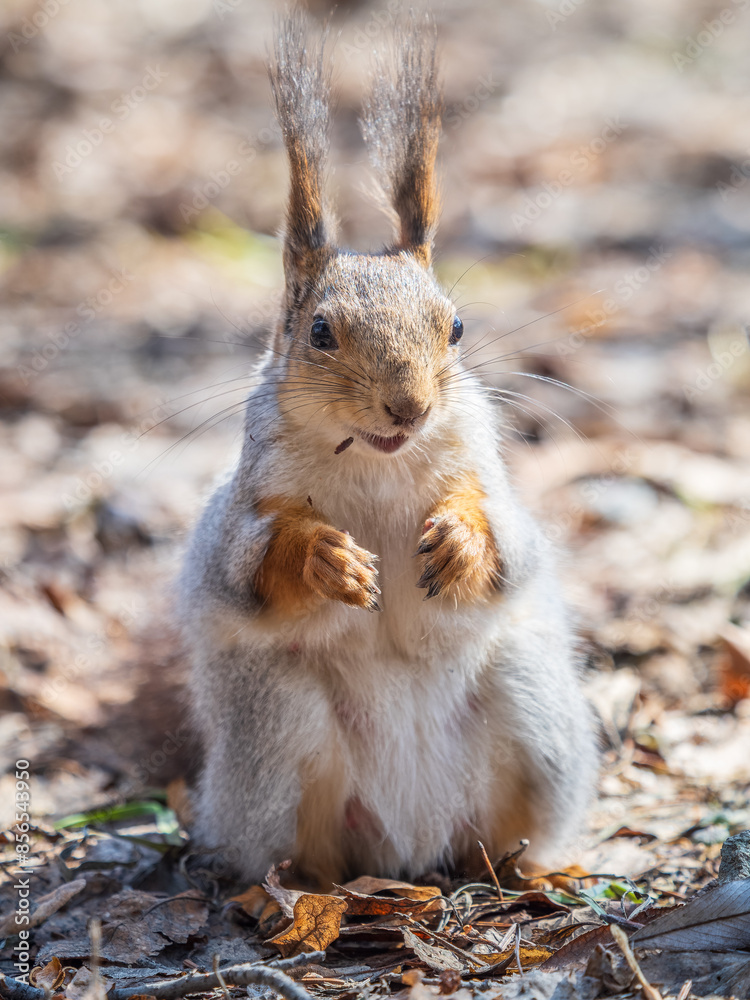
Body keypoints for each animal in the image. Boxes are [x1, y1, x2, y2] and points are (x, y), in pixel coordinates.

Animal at [179, 11, 597, 888]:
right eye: (318, 332)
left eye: (457, 326)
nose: (410, 406)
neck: (377, 460)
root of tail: (410, 847)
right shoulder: (245, 502)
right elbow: (242, 564)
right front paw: (322, 558)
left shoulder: (490, 476)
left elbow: (510, 540)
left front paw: (461, 541)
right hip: (278, 728)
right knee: (297, 845)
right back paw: (307, 892)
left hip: (533, 715)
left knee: (511, 830)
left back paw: (523, 873)